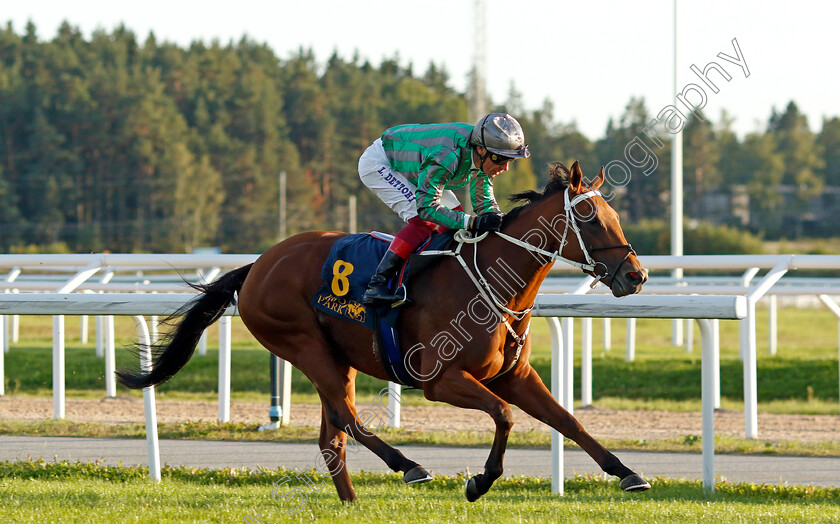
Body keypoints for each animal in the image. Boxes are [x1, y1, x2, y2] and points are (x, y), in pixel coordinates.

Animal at [116, 161, 648, 504]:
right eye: (589, 217)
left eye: (615, 216)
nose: (636, 275)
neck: (490, 280)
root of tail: (258, 265)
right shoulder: (440, 381)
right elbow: (504, 416)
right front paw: (480, 481)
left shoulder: (514, 375)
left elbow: (568, 421)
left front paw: (628, 474)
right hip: (304, 345)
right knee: (347, 420)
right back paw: (410, 466)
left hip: (338, 357)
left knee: (332, 435)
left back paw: (352, 501)